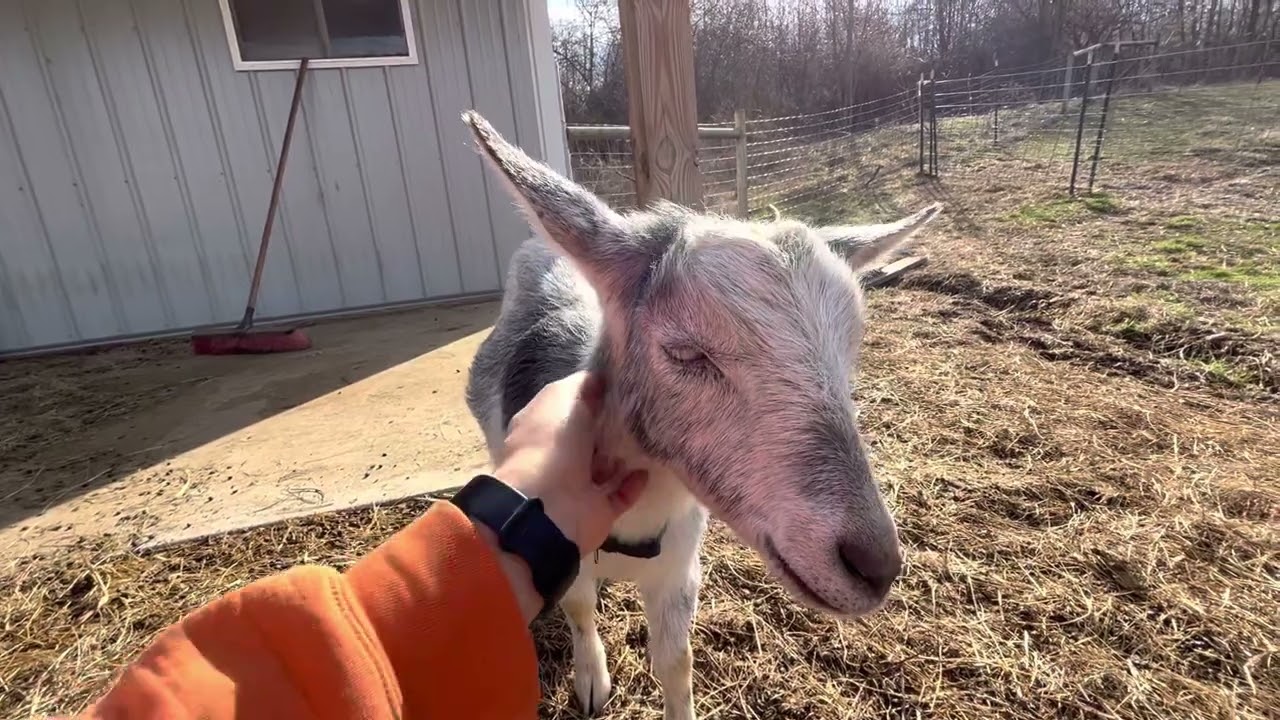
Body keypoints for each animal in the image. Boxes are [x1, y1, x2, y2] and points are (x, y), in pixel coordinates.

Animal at [461, 111, 941, 720]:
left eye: (852, 346)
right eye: (685, 352)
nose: (875, 566)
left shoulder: (681, 567)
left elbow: (676, 660)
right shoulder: (561, 544)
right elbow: (580, 610)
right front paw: (591, 681)